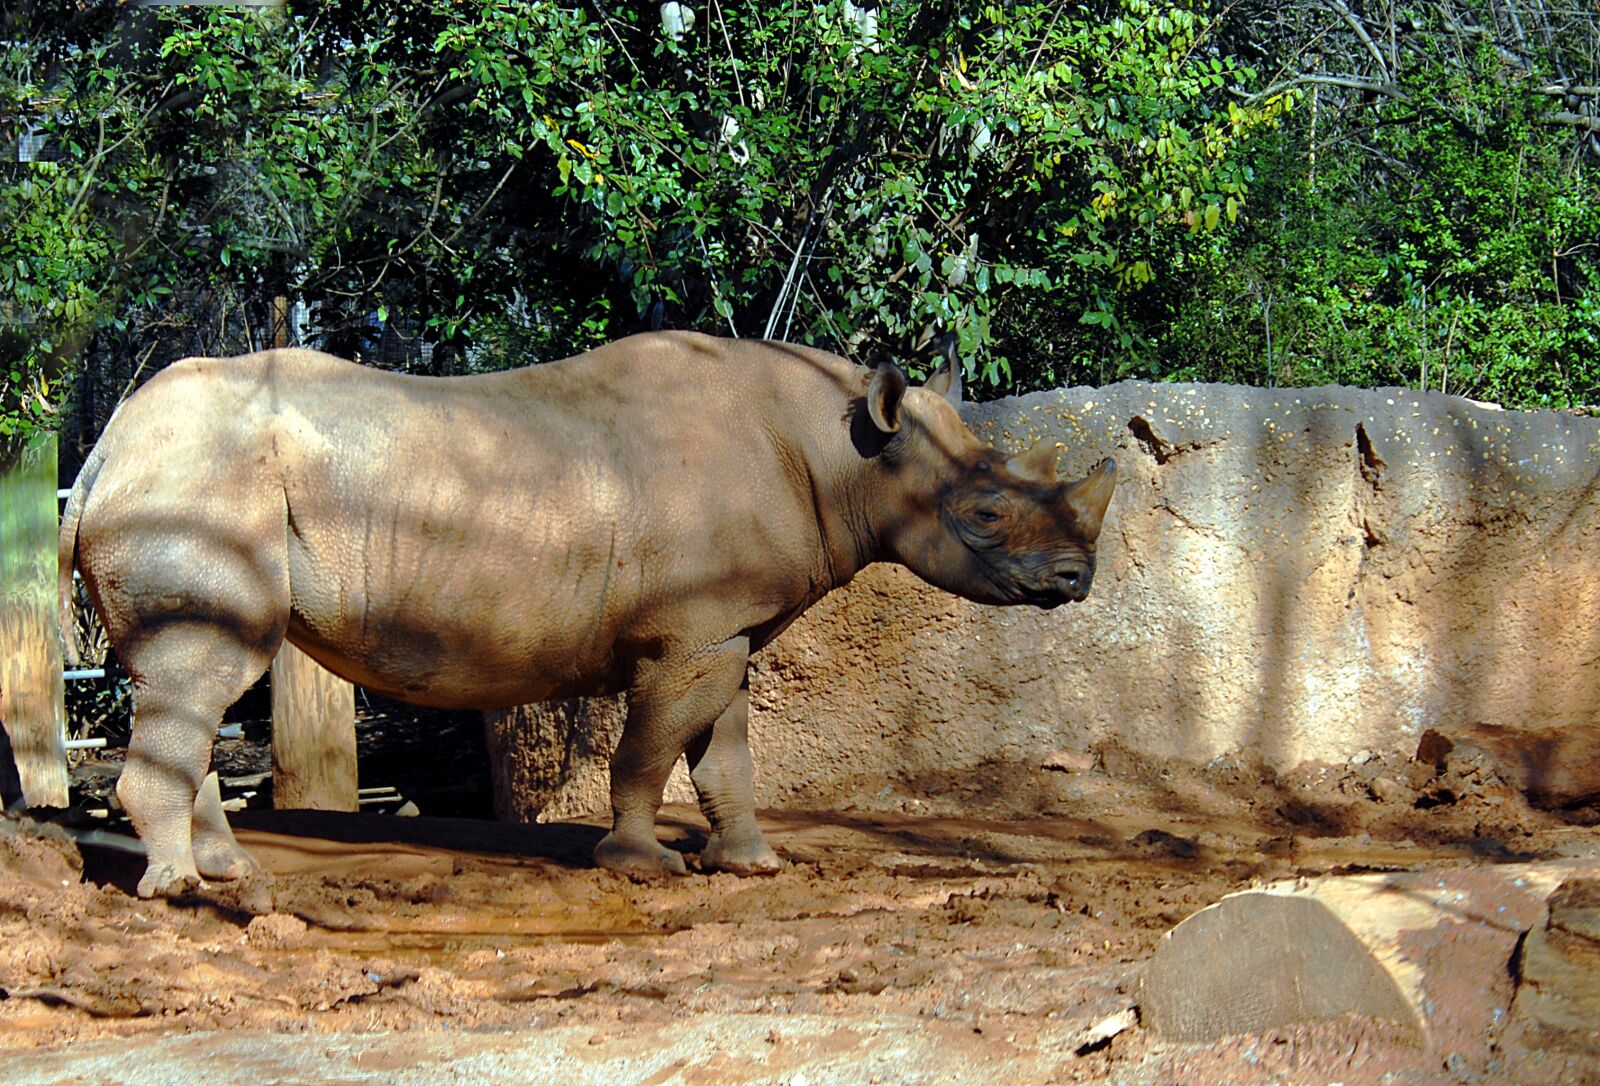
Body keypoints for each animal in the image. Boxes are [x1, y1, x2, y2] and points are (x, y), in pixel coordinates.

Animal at [58, 332, 1116, 897]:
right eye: (984, 515)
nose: (1077, 579)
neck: (843, 450)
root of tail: (106, 449)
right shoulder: (689, 630)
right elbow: (648, 749)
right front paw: (638, 866)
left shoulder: (724, 628)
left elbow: (725, 753)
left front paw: (753, 866)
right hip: (197, 491)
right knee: (202, 673)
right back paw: (183, 893)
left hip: (192, 480)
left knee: (191, 686)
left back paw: (226, 874)